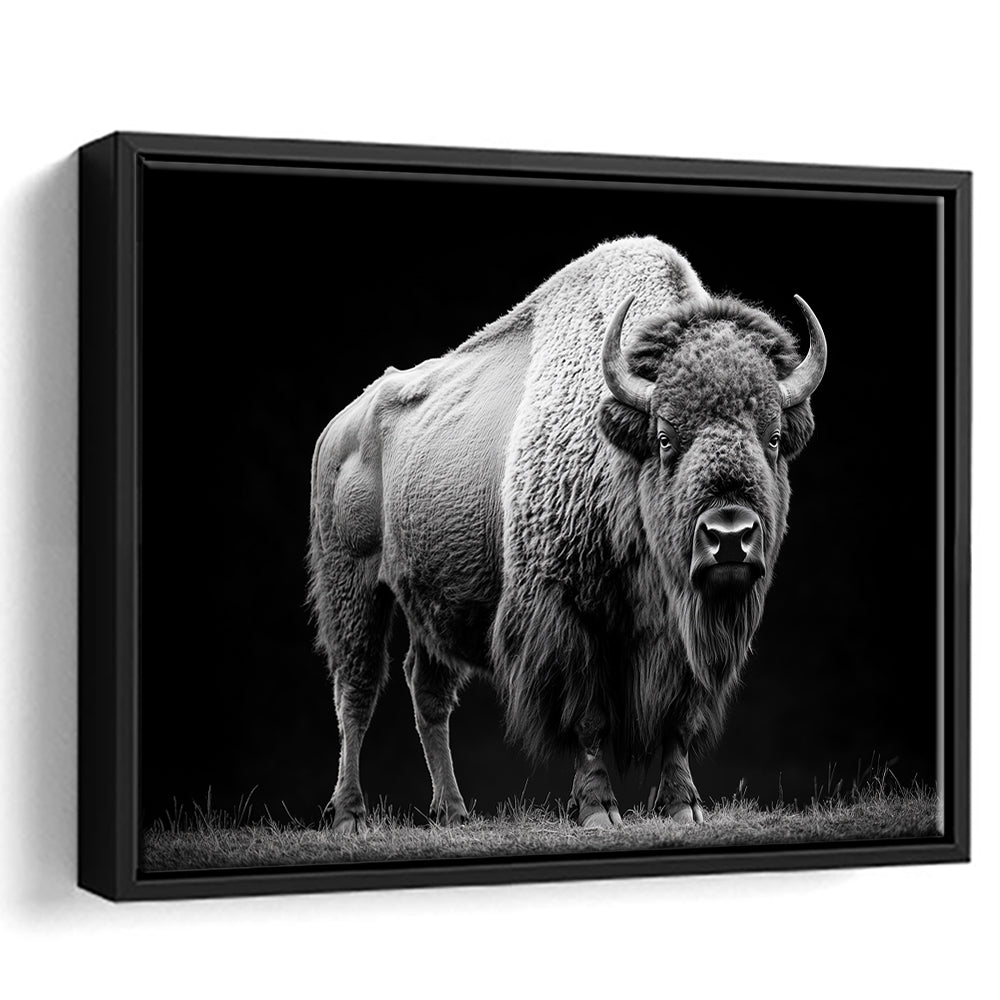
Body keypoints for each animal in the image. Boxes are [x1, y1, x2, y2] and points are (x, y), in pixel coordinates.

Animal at [308, 236, 826, 832]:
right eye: (665, 436)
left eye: (774, 437)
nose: (730, 535)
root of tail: (340, 426)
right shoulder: (565, 616)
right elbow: (588, 719)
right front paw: (599, 810)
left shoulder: (684, 636)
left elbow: (678, 721)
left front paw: (683, 807)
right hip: (352, 584)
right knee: (357, 689)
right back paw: (350, 814)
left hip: (428, 602)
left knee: (427, 691)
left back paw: (453, 813)